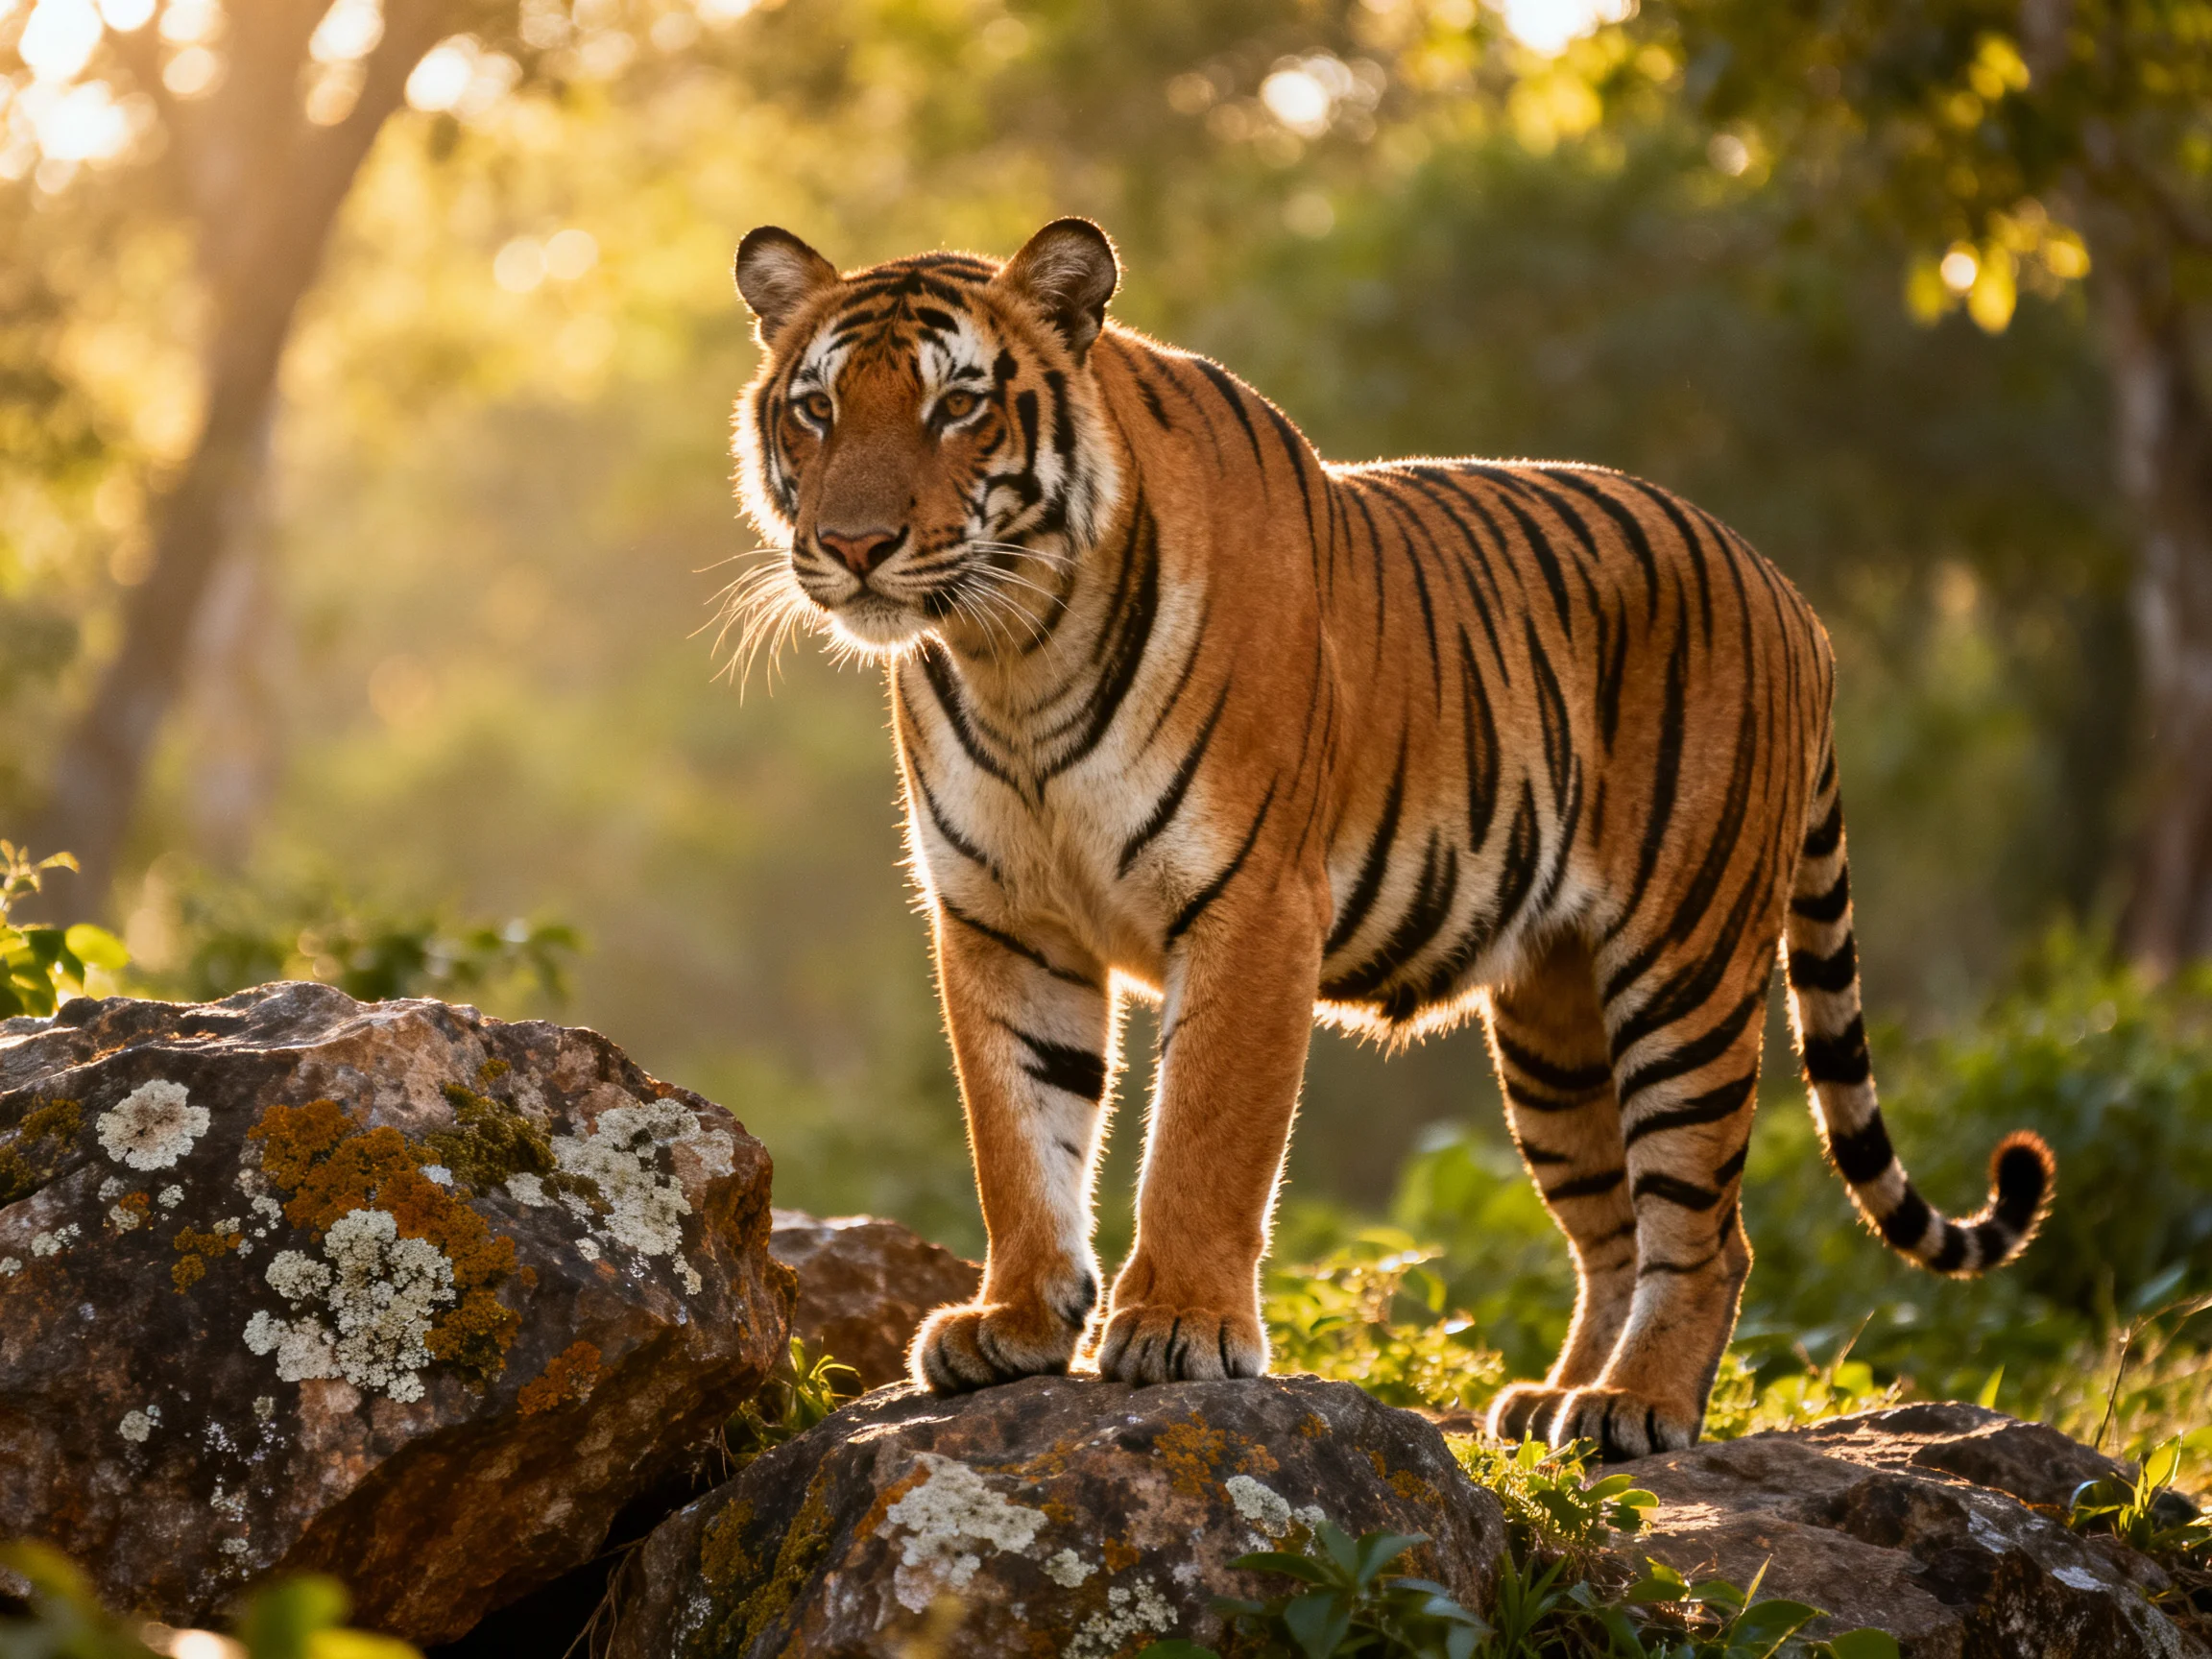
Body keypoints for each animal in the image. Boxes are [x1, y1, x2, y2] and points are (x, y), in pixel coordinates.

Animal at [725, 216, 2055, 1457]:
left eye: (958, 406)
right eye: (817, 409)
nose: (853, 547)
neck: (1013, 651)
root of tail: (1791, 597)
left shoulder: (1252, 903)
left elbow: (1204, 1136)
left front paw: (1179, 1327)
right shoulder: (1003, 920)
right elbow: (1020, 1134)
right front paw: (1014, 1324)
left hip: (1686, 968)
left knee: (1707, 1228)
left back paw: (1634, 1407)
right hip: (1557, 1025)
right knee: (1615, 1228)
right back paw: (1553, 1402)